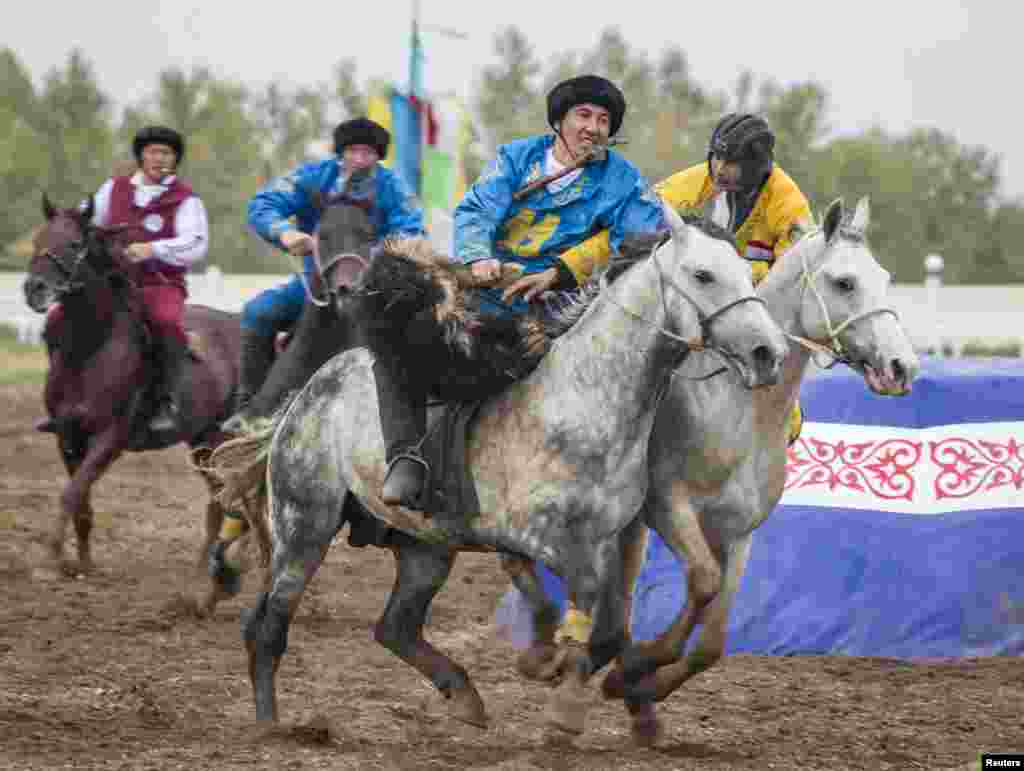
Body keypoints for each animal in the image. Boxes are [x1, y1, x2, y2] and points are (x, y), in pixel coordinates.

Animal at [24, 193, 241, 581]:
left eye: (75, 244)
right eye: (38, 238)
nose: (35, 289)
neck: (90, 350)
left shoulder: (109, 440)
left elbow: (71, 493)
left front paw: (54, 556)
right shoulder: (68, 438)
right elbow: (81, 502)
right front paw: (83, 563)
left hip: (220, 438)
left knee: (226, 496)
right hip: (200, 440)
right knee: (216, 498)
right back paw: (203, 563)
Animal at [205, 202, 782, 733]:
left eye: (746, 269)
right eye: (702, 274)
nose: (767, 351)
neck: (586, 400)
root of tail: (303, 398)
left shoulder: (613, 537)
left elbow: (614, 623)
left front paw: (584, 673)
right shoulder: (537, 536)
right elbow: (578, 598)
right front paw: (557, 685)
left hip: (426, 547)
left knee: (395, 627)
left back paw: (464, 695)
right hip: (304, 525)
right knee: (268, 626)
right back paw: (270, 723)